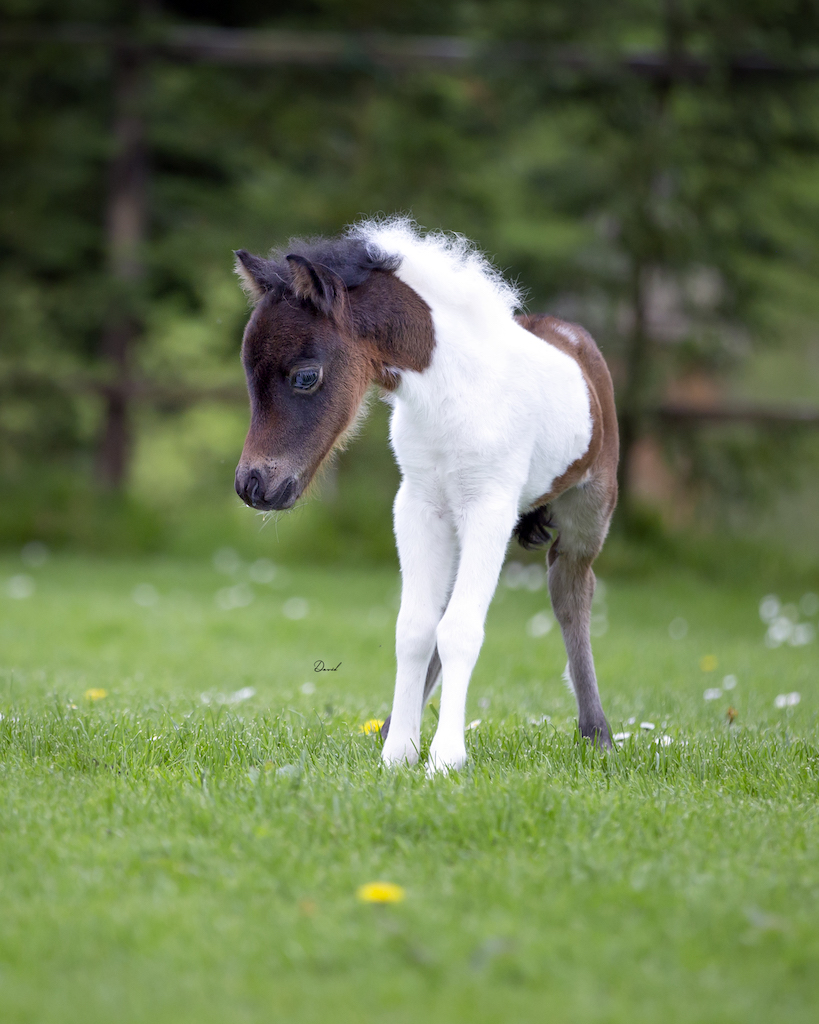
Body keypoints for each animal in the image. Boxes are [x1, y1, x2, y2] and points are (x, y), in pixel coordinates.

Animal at [233, 218, 618, 774]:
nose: (252, 485)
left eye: (306, 376)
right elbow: (416, 628)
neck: (448, 392)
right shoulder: (417, 507)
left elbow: (459, 629)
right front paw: (398, 752)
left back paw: (597, 734)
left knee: (571, 593)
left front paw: (445, 758)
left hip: (590, 506)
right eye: (248, 376)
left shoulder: (489, 508)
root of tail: (572, 338)